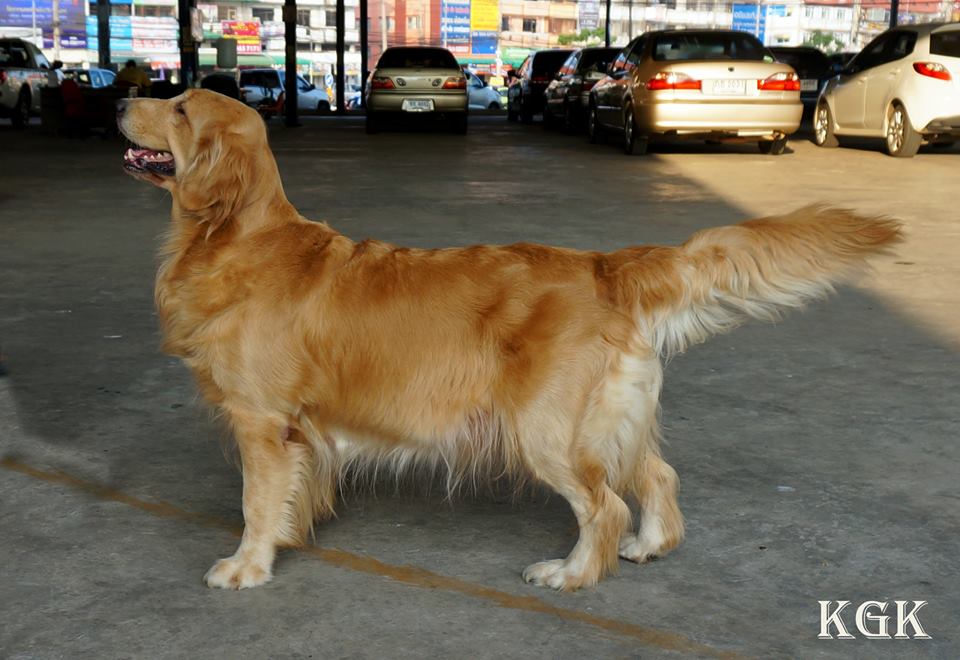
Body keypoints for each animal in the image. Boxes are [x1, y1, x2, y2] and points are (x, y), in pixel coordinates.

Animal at [117, 89, 902, 591]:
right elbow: (291, 498)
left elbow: (256, 502)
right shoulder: (297, 433)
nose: (119, 96)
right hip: (611, 419)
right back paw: (649, 546)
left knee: (605, 505)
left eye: (180, 107)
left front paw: (247, 566)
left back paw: (574, 574)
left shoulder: (262, 421)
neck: (232, 237)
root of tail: (606, 267)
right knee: (656, 476)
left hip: (545, 429)